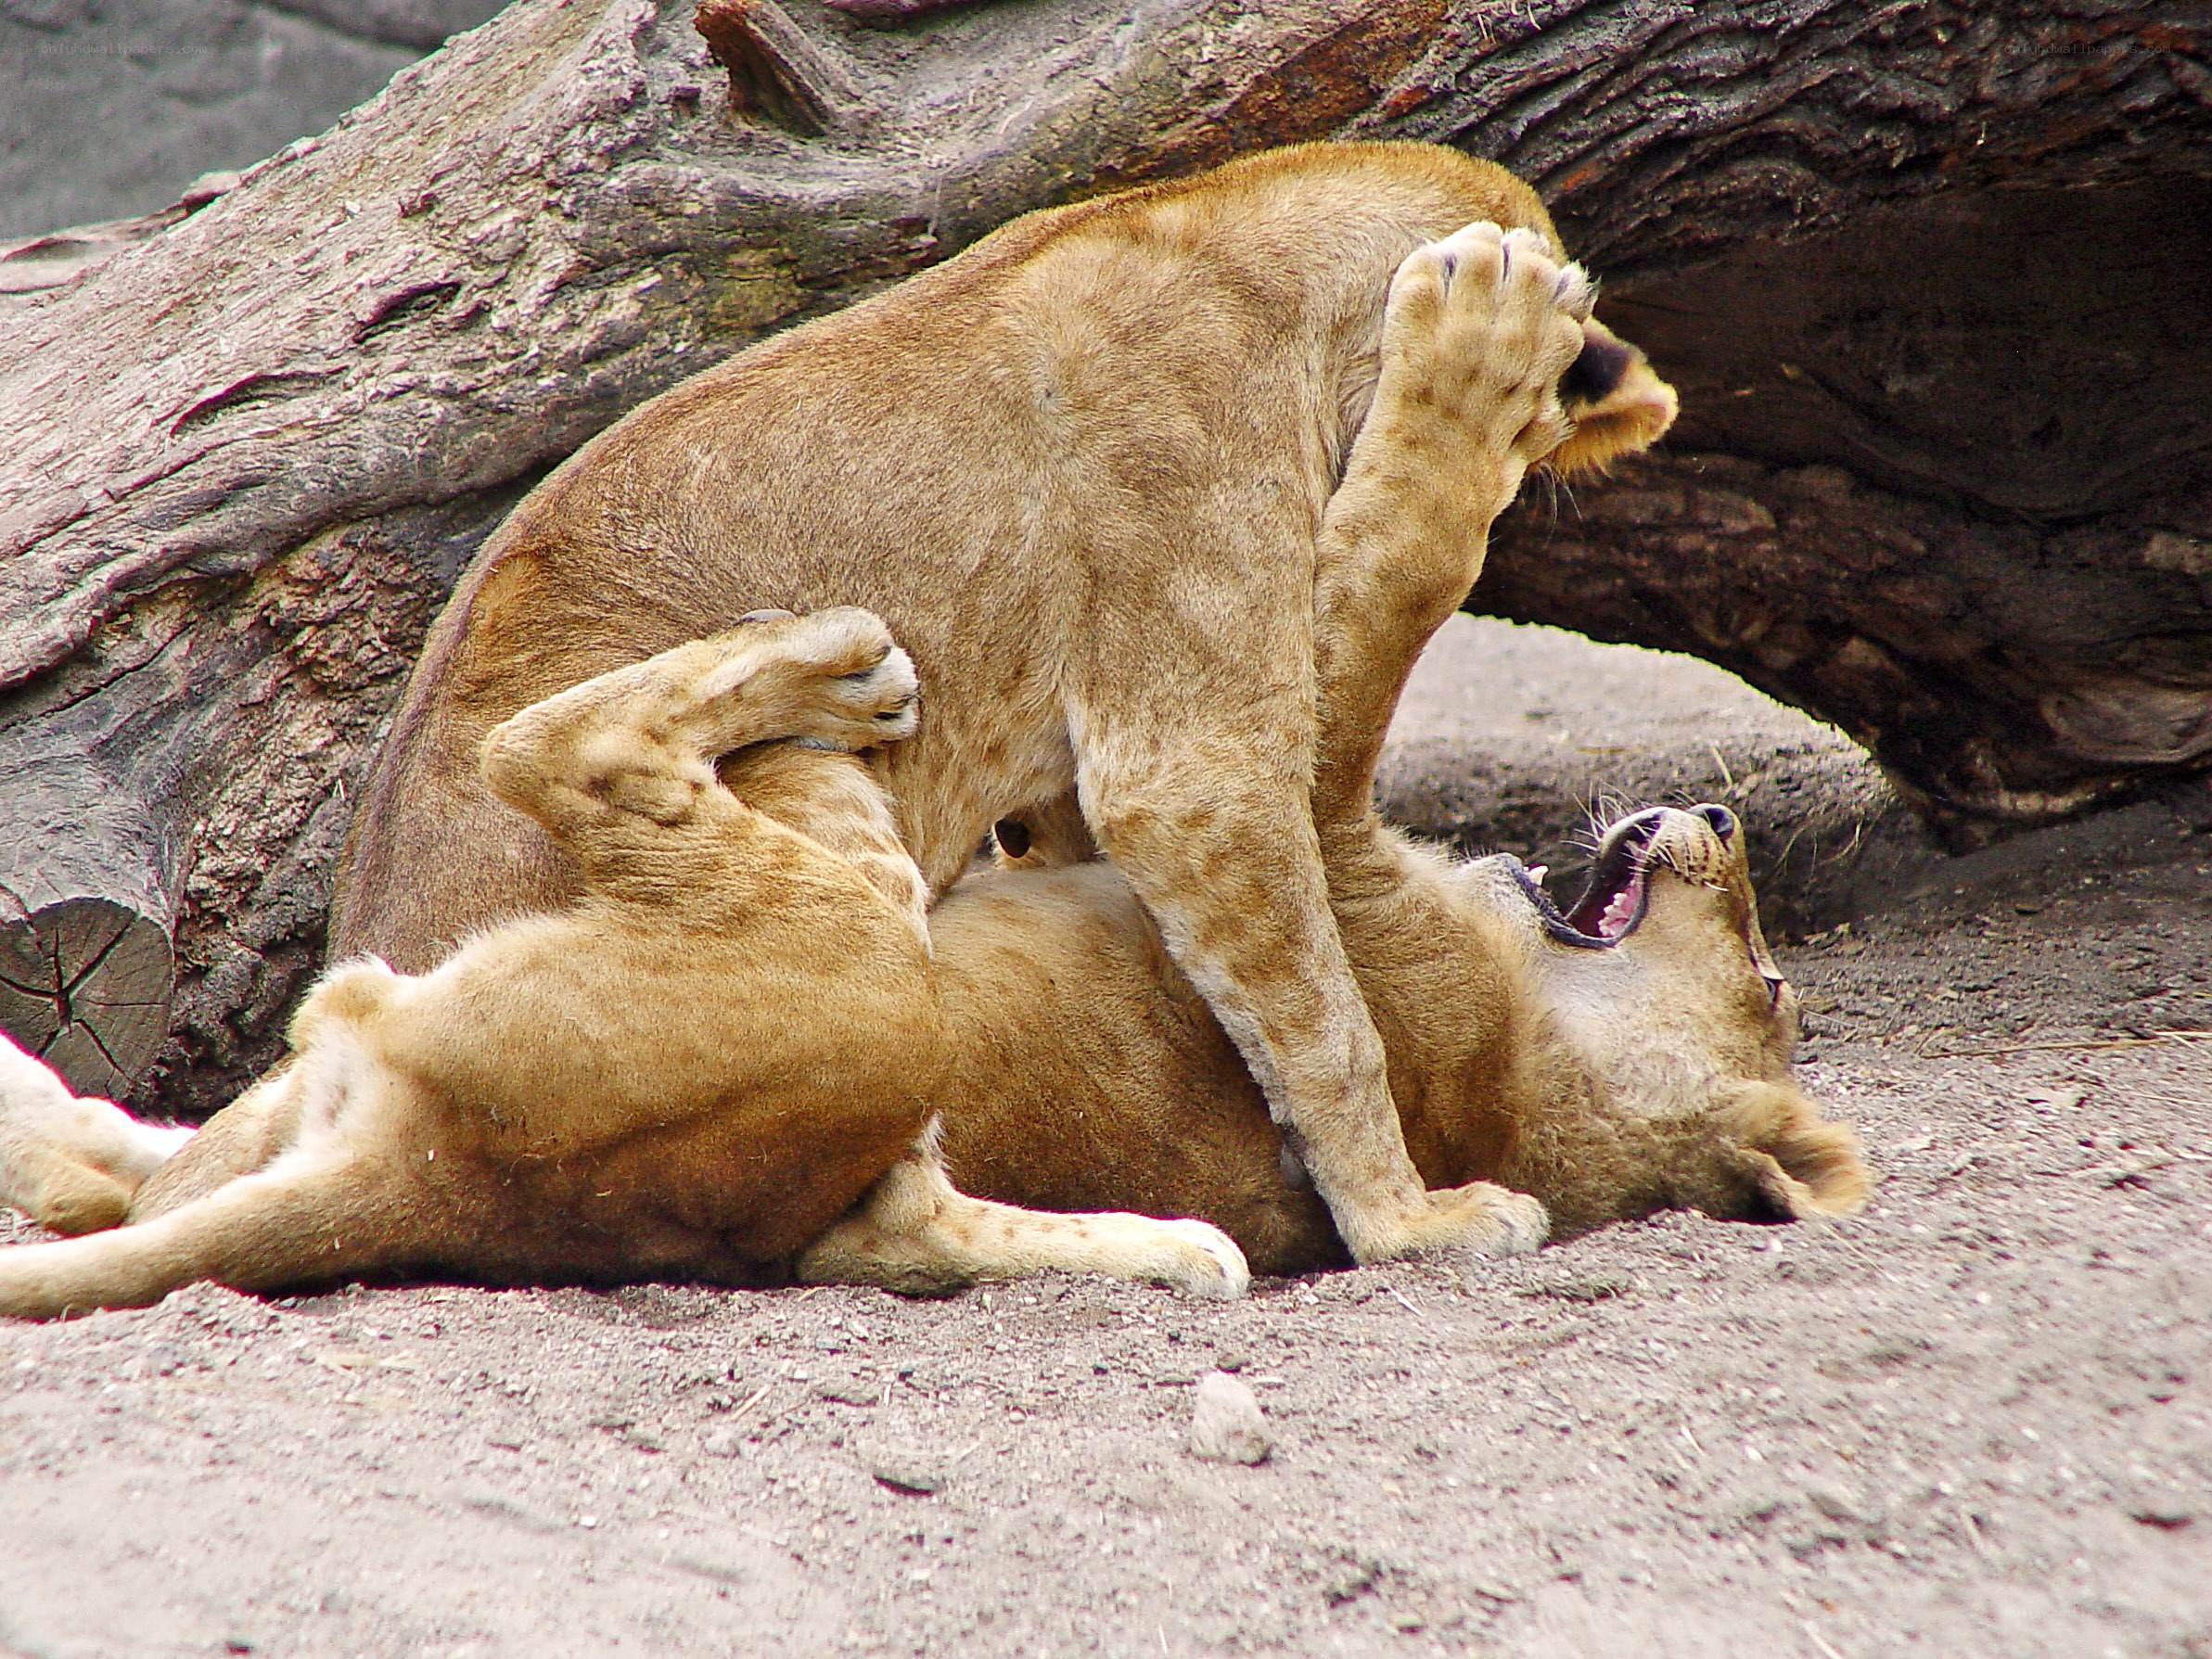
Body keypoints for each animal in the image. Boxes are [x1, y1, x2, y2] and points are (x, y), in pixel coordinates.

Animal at [327, 140, 1678, 1269]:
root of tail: (420, 1140)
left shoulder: (1084, 778)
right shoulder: (1189, 760)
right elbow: (1329, 1016)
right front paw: (1407, 1223)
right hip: (815, 785)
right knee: (885, 1223)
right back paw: (1158, 1245)